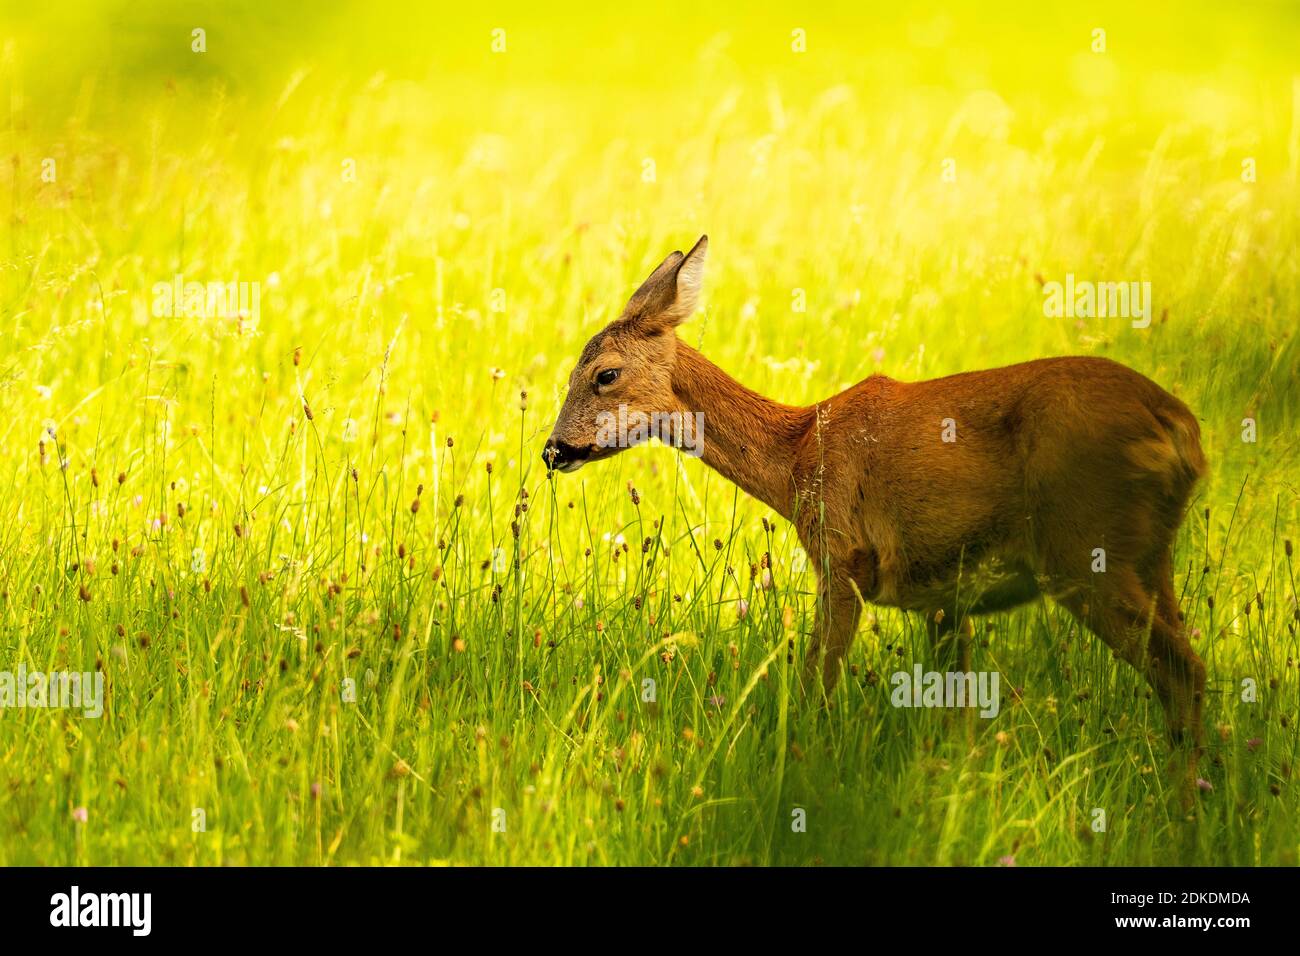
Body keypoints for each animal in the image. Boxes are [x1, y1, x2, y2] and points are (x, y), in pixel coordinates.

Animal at [544, 236, 1208, 773]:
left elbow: (816, 683)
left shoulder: (842, 559)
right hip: (1150, 555)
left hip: (1084, 547)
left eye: (604, 374)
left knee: (1183, 671)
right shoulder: (945, 595)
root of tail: (1180, 429)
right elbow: (956, 714)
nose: (552, 450)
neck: (796, 456)